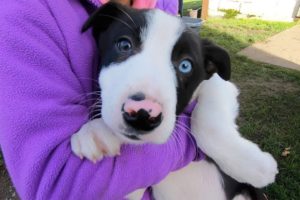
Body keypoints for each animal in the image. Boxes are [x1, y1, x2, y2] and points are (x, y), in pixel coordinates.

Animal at [71, 2, 278, 199]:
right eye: (124, 45)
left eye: (185, 65)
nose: (142, 114)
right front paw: (97, 130)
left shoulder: (221, 84)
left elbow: (205, 120)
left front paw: (254, 166)